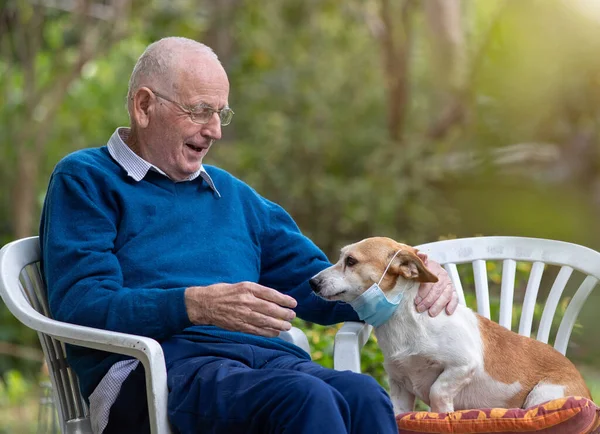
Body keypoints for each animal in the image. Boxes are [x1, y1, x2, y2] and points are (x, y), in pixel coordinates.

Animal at [310, 237, 592, 414]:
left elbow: (437, 391)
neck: (405, 321)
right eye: (342, 258)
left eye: (351, 261)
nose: (312, 282)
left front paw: (443, 414)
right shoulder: (399, 387)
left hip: (541, 397)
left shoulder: (463, 365)